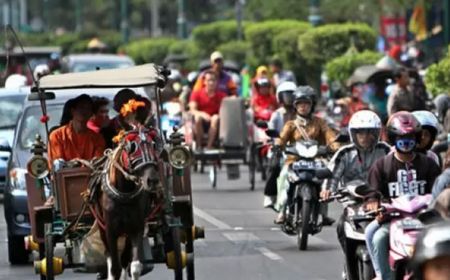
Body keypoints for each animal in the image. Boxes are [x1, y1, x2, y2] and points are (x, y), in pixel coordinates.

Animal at [98, 127, 162, 280]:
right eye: (132, 147)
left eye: (153, 145)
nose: (152, 180)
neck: (124, 194)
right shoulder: (110, 230)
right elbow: (115, 268)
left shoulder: (136, 228)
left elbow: (135, 266)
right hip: (102, 227)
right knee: (110, 256)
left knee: (125, 260)